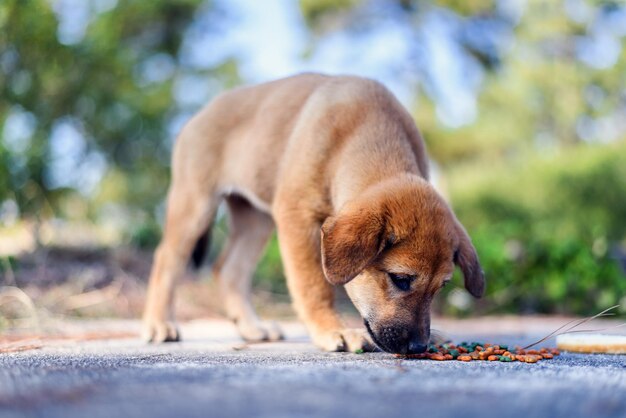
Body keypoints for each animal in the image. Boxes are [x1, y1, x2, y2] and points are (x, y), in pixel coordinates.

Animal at [141, 73, 482, 354]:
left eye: (441, 287)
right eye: (400, 279)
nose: (418, 347)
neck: (362, 134)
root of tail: (199, 114)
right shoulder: (298, 218)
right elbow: (314, 285)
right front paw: (332, 329)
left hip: (255, 220)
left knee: (229, 270)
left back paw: (252, 327)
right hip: (195, 204)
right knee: (166, 259)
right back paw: (159, 324)